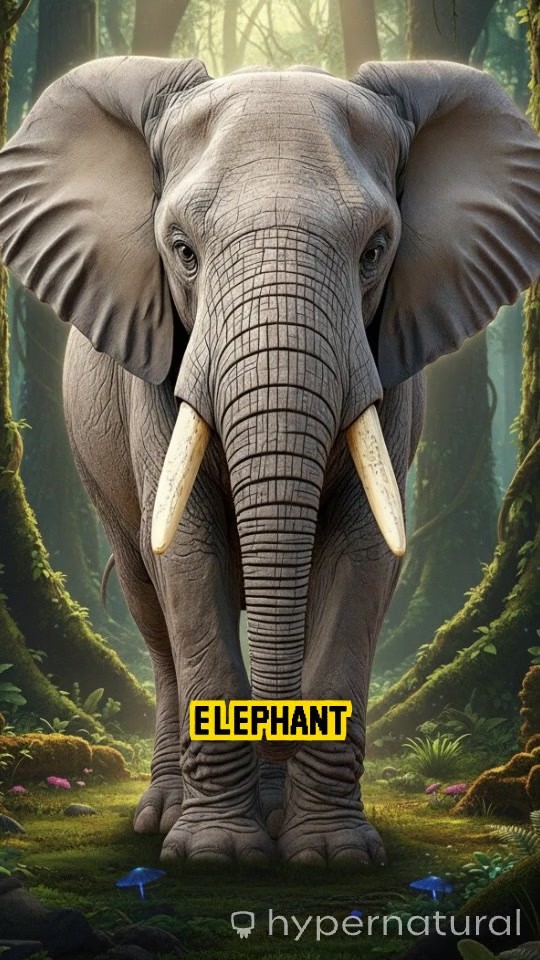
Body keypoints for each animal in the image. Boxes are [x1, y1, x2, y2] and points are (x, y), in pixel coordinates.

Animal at [0, 56, 538, 865]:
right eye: (182, 250)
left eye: (375, 251)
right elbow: (186, 556)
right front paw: (216, 855)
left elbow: (362, 555)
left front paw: (331, 855)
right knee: (149, 602)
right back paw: (165, 813)